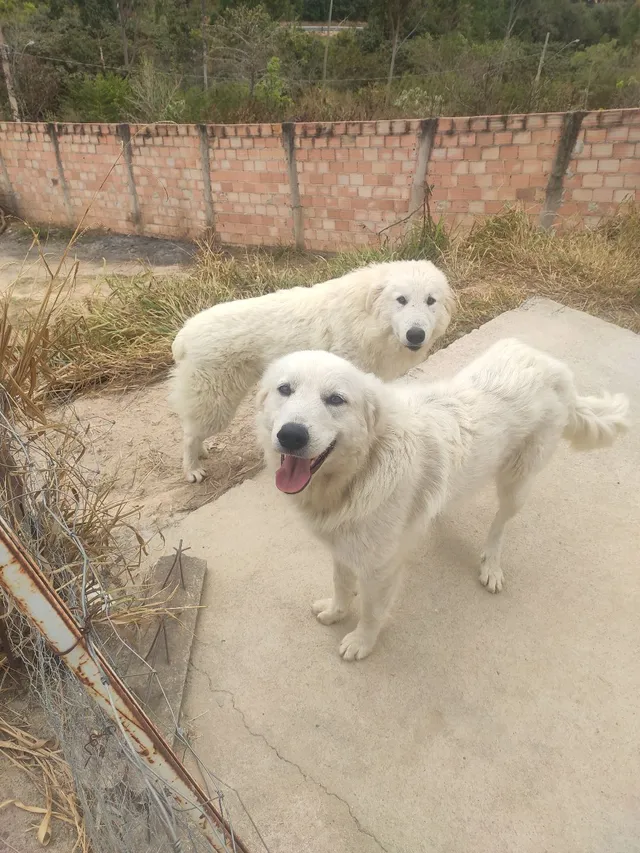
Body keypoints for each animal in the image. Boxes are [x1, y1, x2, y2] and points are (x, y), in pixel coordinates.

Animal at [169, 260, 450, 482]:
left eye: (430, 301)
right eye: (401, 300)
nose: (416, 335)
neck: (368, 314)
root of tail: (184, 333)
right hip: (216, 403)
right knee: (189, 434)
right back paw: (191, 469)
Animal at [258, 342, 632, 664]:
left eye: (336, 399)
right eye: (285, 389)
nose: (290, 435)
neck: (363, 467)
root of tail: (554, 367)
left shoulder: (380, 568)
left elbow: (372, 611)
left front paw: (361, 642)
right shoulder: (344, 547)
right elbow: (341, 585)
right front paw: (336, 612)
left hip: (517, 484)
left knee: (501, 525)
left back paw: (491, 565)